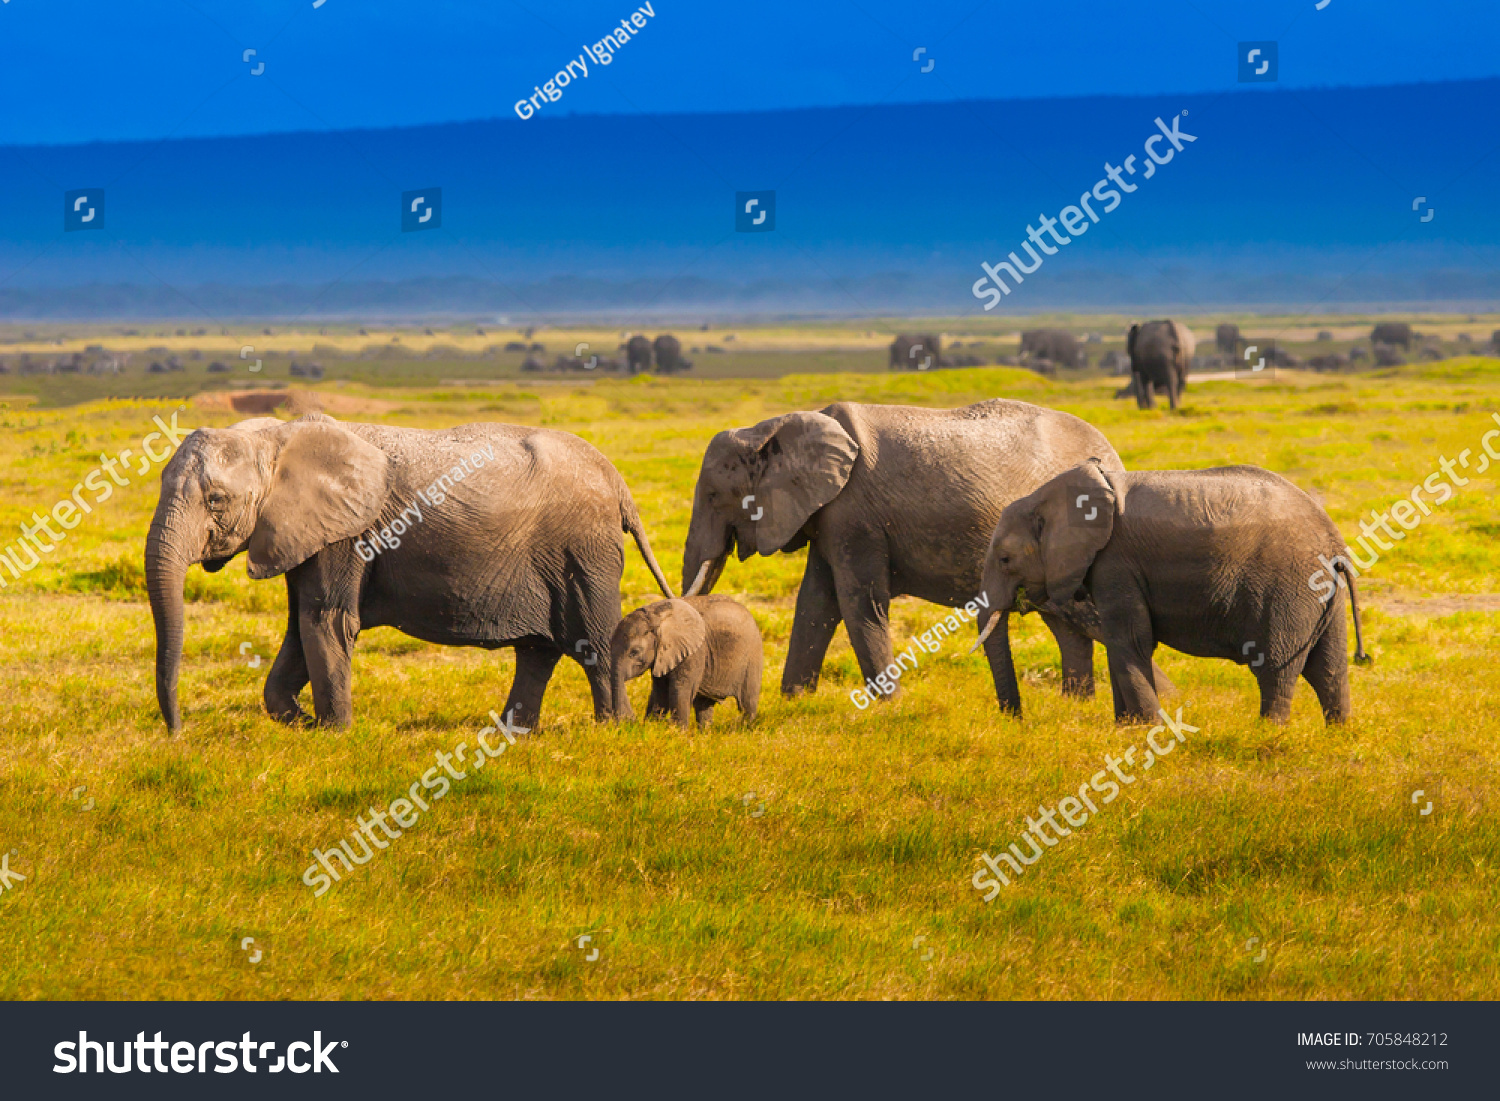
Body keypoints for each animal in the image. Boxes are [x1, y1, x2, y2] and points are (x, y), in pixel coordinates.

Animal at [146, 414, 675, 732]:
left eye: (216, 500)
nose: (177, 732)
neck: (277, 436)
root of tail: (619, 484)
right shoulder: (304, 532)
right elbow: (300, 626)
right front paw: (302, 721)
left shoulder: (346, 533)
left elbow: (327, 622)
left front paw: (334, 733)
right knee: (538, 650)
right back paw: (512, 734)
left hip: (583, 551)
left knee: (592, 641)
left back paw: (616, 729)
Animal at [606, 600, 762, 729]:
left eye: (634, 652)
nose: (629, 721)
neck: (658, 615)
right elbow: (660, 691)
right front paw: (653, 728)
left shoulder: (694, 652)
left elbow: (680, 689)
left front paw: (677, 734)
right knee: (703, 706)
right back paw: (705, 734)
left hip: (752, 656)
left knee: (747, 704)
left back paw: (743, 731)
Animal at [681, 402, 1170, 720]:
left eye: (713, 495)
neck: (771, 427)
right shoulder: (827, 515)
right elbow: (816, 605)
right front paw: (795, 702)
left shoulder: (854, 513)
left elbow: (859, 602)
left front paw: (887, 710)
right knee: (1068, 622)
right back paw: (1077, 706)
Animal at [972, 465, 1374, 729]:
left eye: (1005, 560)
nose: (1016, 720)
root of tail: (1335, 544)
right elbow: (1121, 642)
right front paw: (1126, 728)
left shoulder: (1115, 561)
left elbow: (1130, 640)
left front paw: (1148, 729)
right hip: (1322, 593)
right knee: (1329, 666)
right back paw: (1338, 734)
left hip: (1291, 588)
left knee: (1276, 666)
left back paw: (1265, 734)